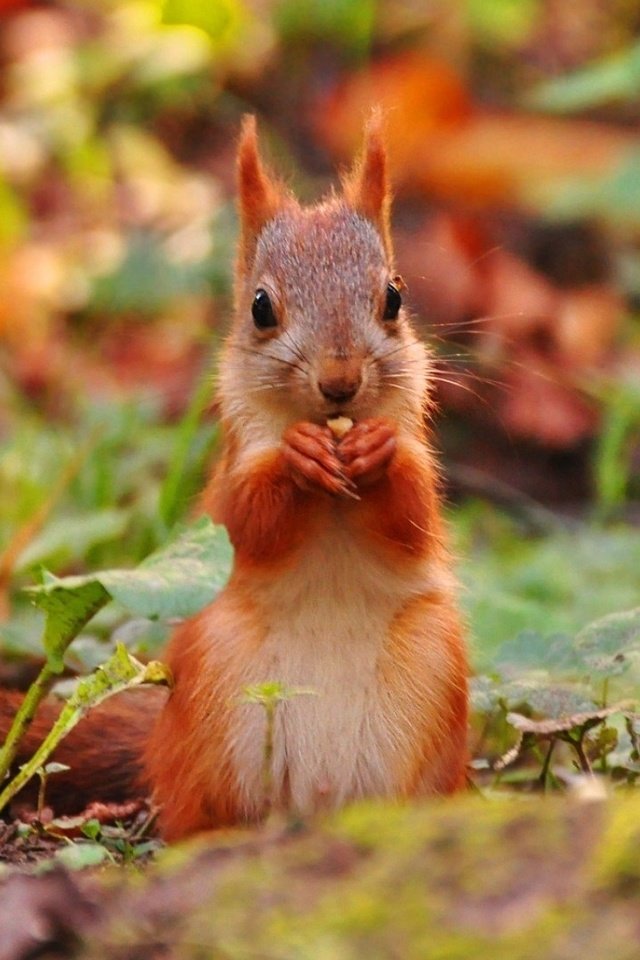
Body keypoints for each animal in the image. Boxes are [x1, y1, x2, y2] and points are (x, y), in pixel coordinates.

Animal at [3, 116, 470, 840]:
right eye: (260, 308)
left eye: (394, 296)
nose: (340, 382)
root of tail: (318, 803)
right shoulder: (227, 481)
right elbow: (248, 520)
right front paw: (297, 459)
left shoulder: (419, 478)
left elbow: (414, 516)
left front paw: (379, 453)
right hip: (215, 685)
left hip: (433, 671)